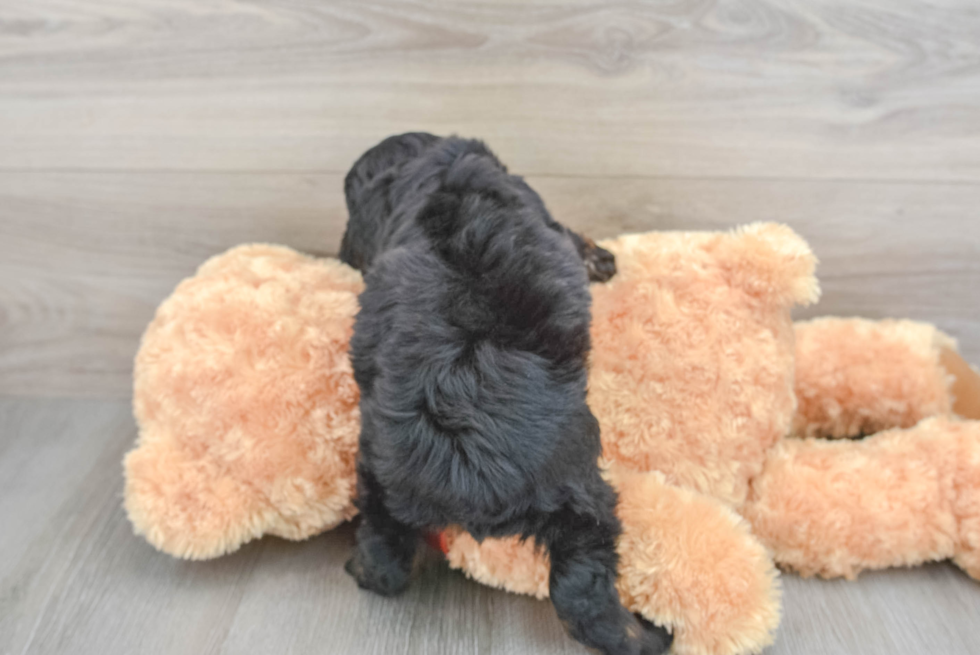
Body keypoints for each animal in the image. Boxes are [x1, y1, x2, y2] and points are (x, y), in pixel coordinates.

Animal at [340, 135, 668, 655]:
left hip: (381, 479)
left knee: (385, 551)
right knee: (585, 590)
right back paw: (647, 634)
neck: (432, 171)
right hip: (583, 495)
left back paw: (363, 568)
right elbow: (573, 236)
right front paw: (601, 259)